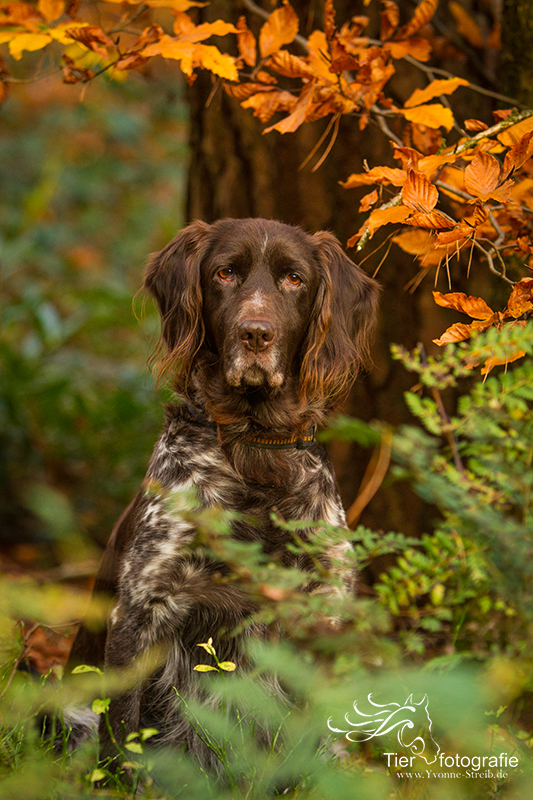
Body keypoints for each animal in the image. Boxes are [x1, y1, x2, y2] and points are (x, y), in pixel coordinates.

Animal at [64, 219, 378, 768]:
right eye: (225, 273)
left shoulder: (320, 613)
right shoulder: (140, 613)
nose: (256, 333)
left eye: (294, 279)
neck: (254, 451)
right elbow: (122, 743)